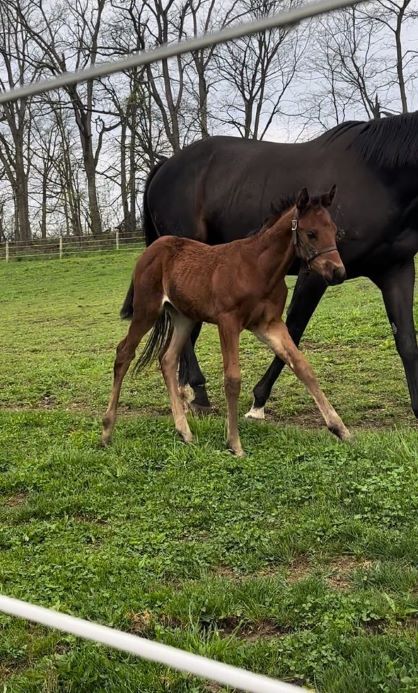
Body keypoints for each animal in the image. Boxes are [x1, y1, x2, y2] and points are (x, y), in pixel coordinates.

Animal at [103, 185, 352, 454]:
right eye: (311, 233)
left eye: (335, 231)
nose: (338, 271)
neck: (259, 269)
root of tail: (151, 250)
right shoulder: (228, 322)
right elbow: (232, 378)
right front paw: (234, 443)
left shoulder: (269, 324)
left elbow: (302, 366)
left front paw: (340, 429)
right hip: (146, 311)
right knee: (124, 353)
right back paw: (106, 431)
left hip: (184, 318)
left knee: (167, 359)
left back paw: (185, 432)